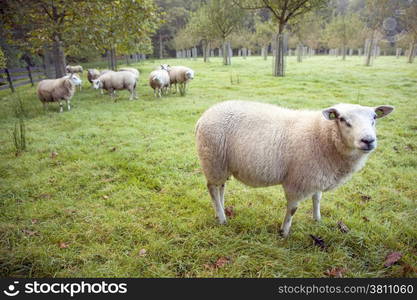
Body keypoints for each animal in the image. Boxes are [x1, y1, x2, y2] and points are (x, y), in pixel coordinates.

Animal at [195, 101, 394, 237]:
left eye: (374, 118)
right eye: (343, 119)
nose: (368, 140)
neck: (322, 135)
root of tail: (203, 117)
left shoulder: (317, 175)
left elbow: (317, 198)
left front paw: (317, 219)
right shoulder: (298, 181)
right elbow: (293, 209)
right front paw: (284, 232)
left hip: (221, 164)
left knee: (220, 187)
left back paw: (220, 211)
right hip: (212, 159)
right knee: (212, 188)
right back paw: (222, 219)